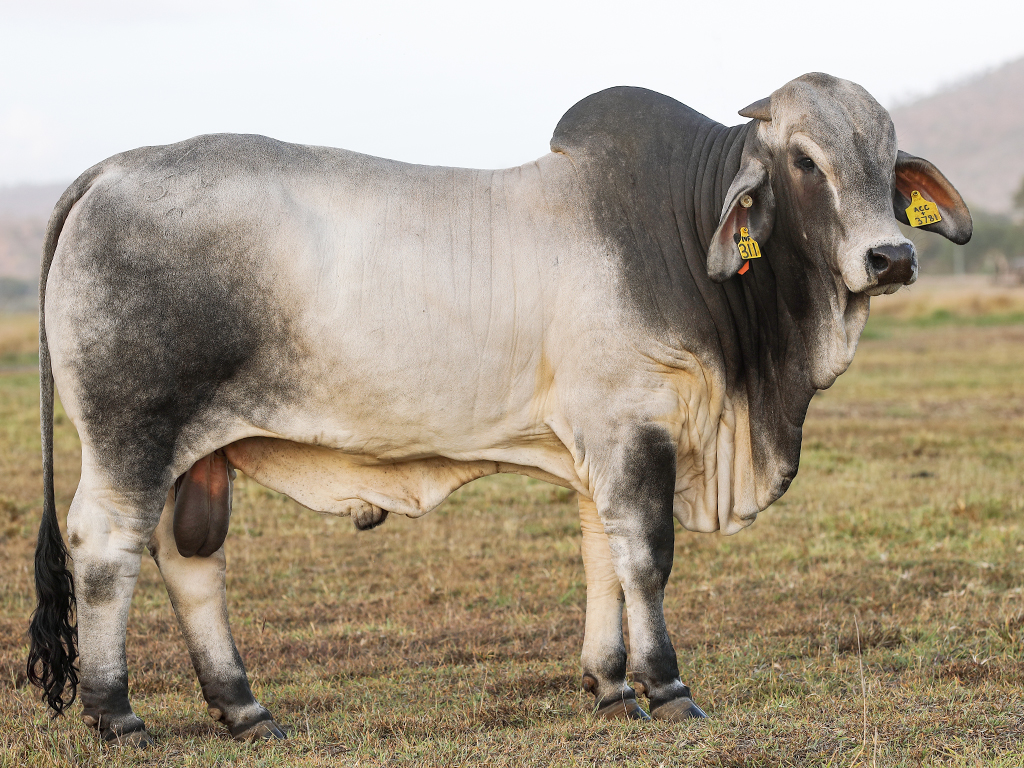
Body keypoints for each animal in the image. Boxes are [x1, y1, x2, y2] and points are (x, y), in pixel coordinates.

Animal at [28, 73, 971, 745]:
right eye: (806, 160)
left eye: (889, 162)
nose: (890, 257)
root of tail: (110, 169)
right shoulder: (633, 429)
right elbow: (647, 558)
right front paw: (667, 689)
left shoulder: (599, 451)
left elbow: (600, 559)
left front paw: (611, 686)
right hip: (131, 436)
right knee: (106, 548)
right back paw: (117, 714)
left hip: (198, 454)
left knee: (189, 560)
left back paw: (245, 709)